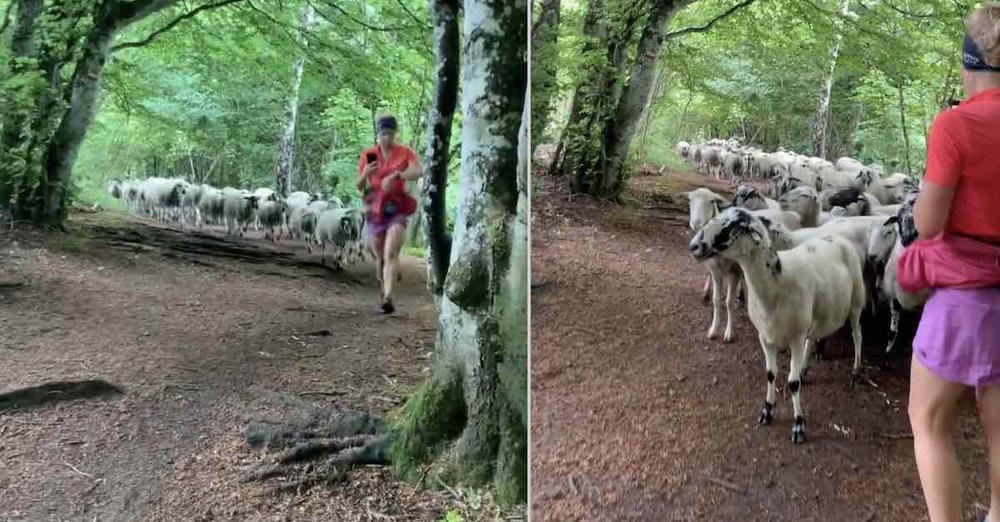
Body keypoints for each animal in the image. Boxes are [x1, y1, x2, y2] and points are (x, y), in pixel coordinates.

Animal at [688, 205, 868, 440]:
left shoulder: (795, 338)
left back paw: (856, 371)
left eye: (733, 225)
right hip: (817, 312)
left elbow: (792, 383)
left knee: (857, 334)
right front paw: (767, 411)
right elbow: (770, 374)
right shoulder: (765, 337)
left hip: (856, 301)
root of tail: (838, 238)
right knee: (814, 338)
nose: (693, 246)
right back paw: (804, 369)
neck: (776, 284)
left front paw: (799, 425)